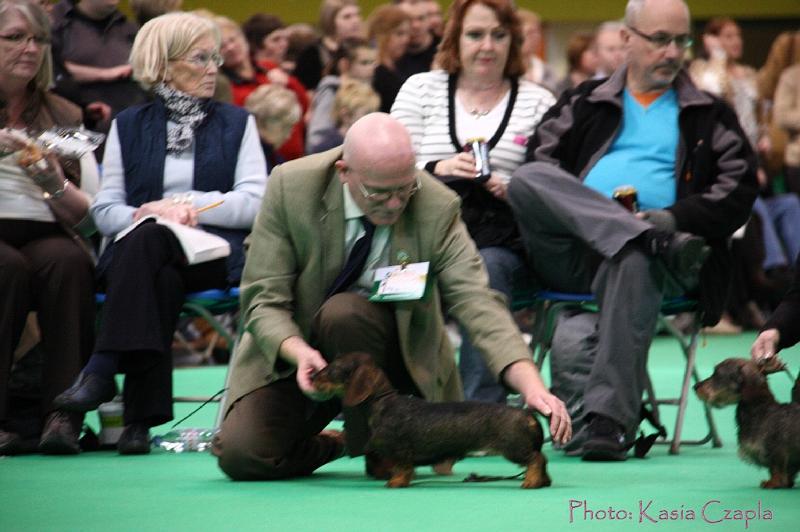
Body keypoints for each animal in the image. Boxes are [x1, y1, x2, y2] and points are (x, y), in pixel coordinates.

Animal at [310, 352, 552, 488]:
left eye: (333, 369)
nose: (312, 377)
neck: (383, 403)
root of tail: (528, 414)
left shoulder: (401, 452)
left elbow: (402, 469)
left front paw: (395, 483)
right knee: (542, 461)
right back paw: (543, 481)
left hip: (514, 449)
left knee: (537, 459)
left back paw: (530, 482)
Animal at [692, 358, 800, 490]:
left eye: (717, 374)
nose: (695, 386)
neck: (762, 409)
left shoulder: (775, 451)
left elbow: (775, 469)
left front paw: (773, 483)